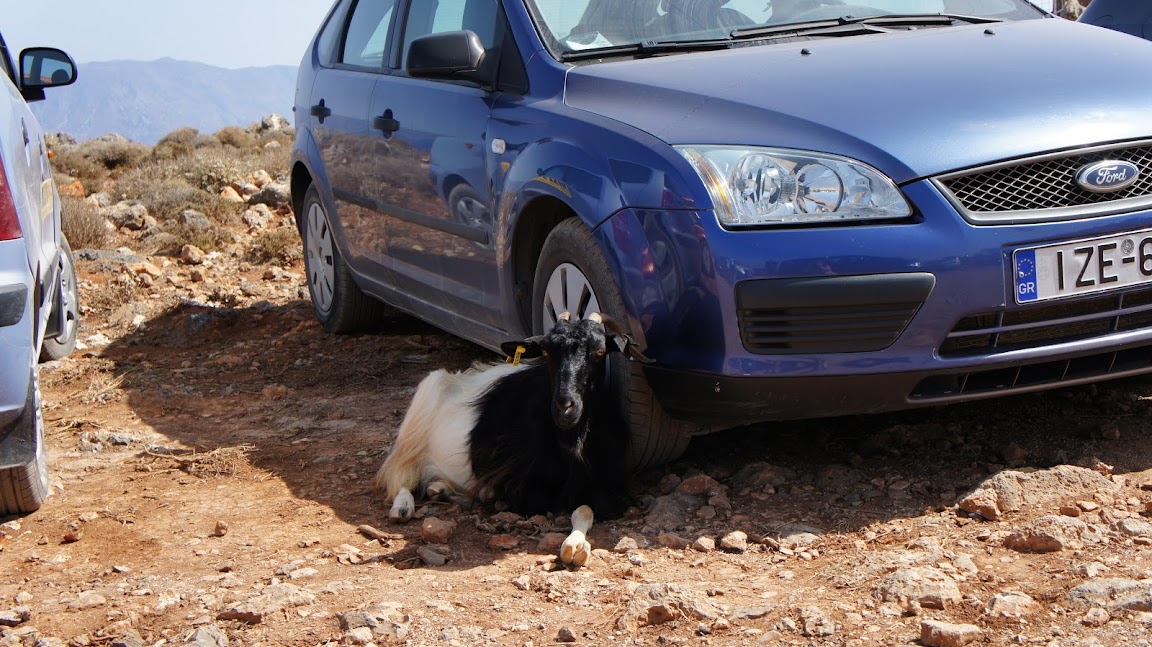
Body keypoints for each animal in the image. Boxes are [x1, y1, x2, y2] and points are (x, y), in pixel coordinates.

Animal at [375, 310, 654, 564]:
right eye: (546, 352)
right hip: (423, 403)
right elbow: (545, 501)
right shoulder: (524, 484)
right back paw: (403, 506)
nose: (565, 407)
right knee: (400, 472)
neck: (571, 443)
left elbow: (587, 508)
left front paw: (576, 546)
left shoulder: (609, 485)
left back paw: (441, 489)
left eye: (598, 352)